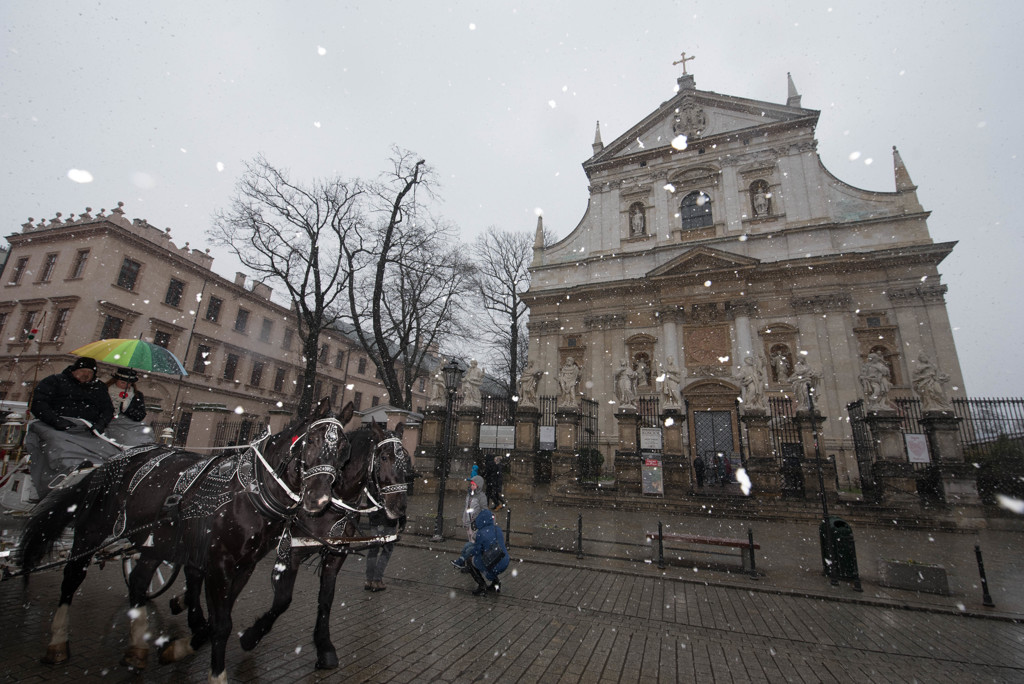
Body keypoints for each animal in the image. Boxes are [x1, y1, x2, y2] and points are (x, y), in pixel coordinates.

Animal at [18, 397, 346, 679]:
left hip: (154, 544)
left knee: (138, 581)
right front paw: (217, 673)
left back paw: (137, 648)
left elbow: (218, 620)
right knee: (73, 576)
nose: (319, 499)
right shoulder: (219, 564)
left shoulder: (244, 566)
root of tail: (112, 459)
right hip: (92, 531)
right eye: (312, 440)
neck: (252, 490)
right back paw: (58, 642)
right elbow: (221, 624)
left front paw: (179, 648)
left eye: (343, 450)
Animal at [238, 421, 411, 667]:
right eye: (384, 457)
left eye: (406, 459)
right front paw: (251, 637)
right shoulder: (291, 551)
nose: (400, 507)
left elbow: (326, 598)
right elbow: (282, 599)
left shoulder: (336, 553)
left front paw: (325, 647)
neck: (335, 497)